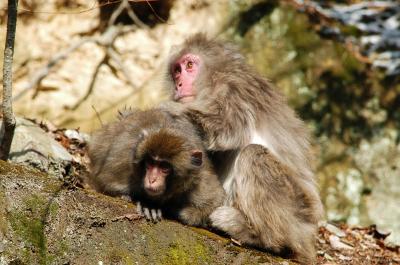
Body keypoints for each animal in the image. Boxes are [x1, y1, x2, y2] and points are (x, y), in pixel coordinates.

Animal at [87, 105, 225, 225]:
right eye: (150, 162)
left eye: (164, 167)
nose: (152, 179)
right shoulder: (125, 164)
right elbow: (106, 180)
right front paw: (147, 205)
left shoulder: (200, 182)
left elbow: (212, 204)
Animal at [166, 33, 324, 262]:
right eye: (176, 70)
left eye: (189, 65)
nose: (178, 83)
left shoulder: (232, 89)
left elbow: (229, 132)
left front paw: (168, 109)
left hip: (297, 210)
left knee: (252, 154)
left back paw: (259, 235)